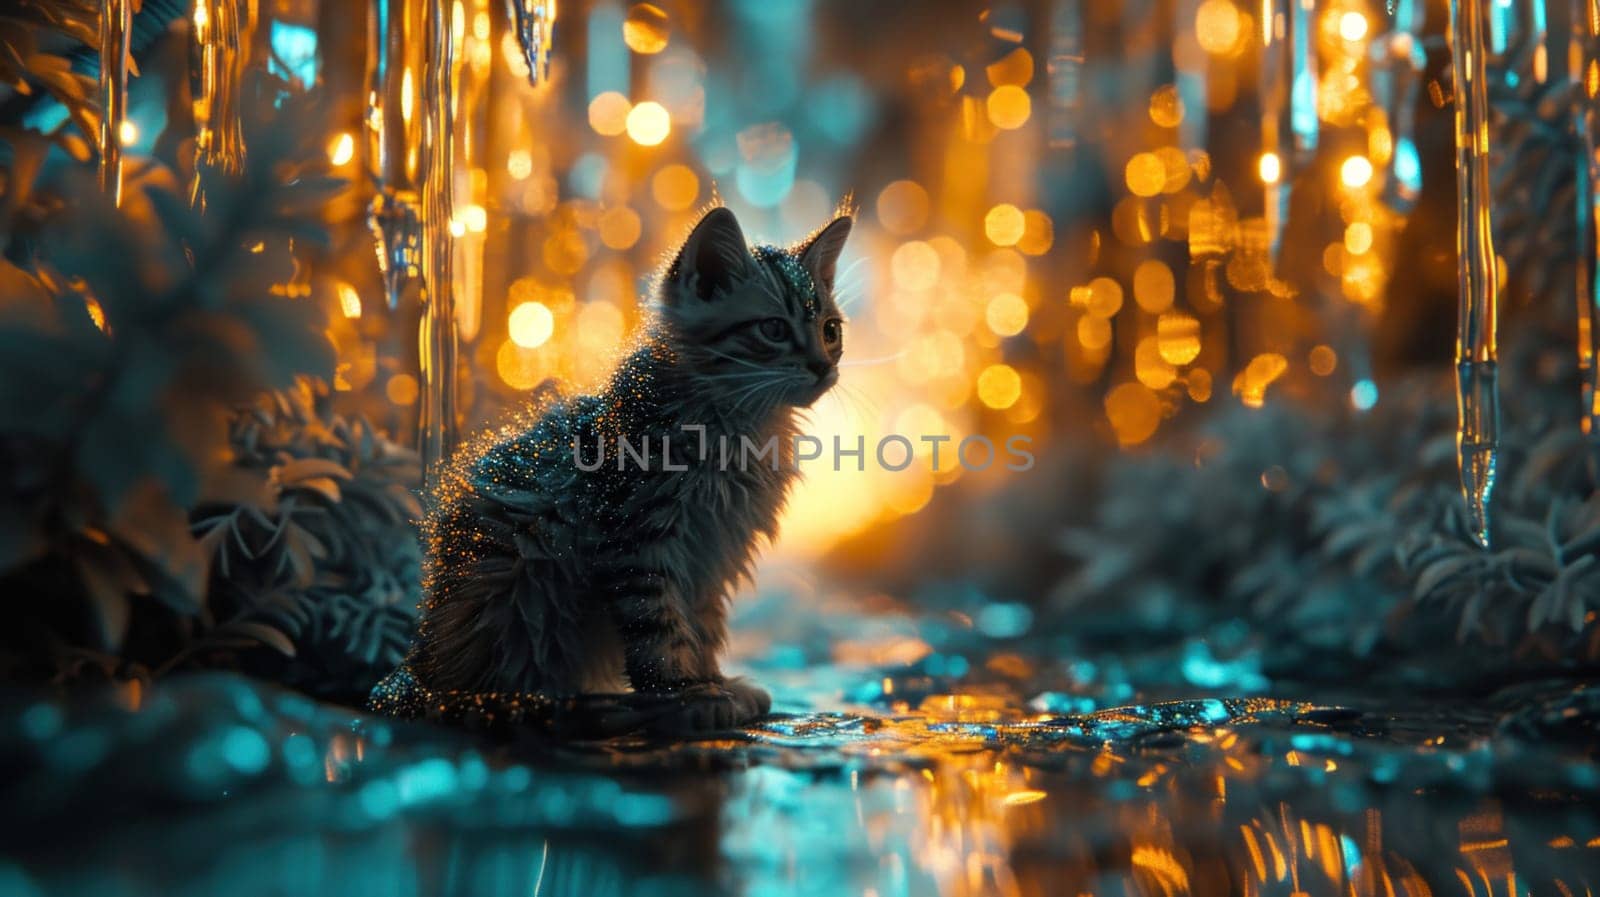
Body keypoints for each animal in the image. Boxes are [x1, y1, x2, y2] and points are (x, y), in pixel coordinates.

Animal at [372, 206, 851, 732]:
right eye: (774, 330)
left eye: (831, 331)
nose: (824, 367)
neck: (740, 424)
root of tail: (415, 667)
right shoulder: (635, 533)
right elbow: (659, 630)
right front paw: (687, 694)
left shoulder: (710, 552)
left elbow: (702, 625)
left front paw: (712, 681)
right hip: (511, 579)